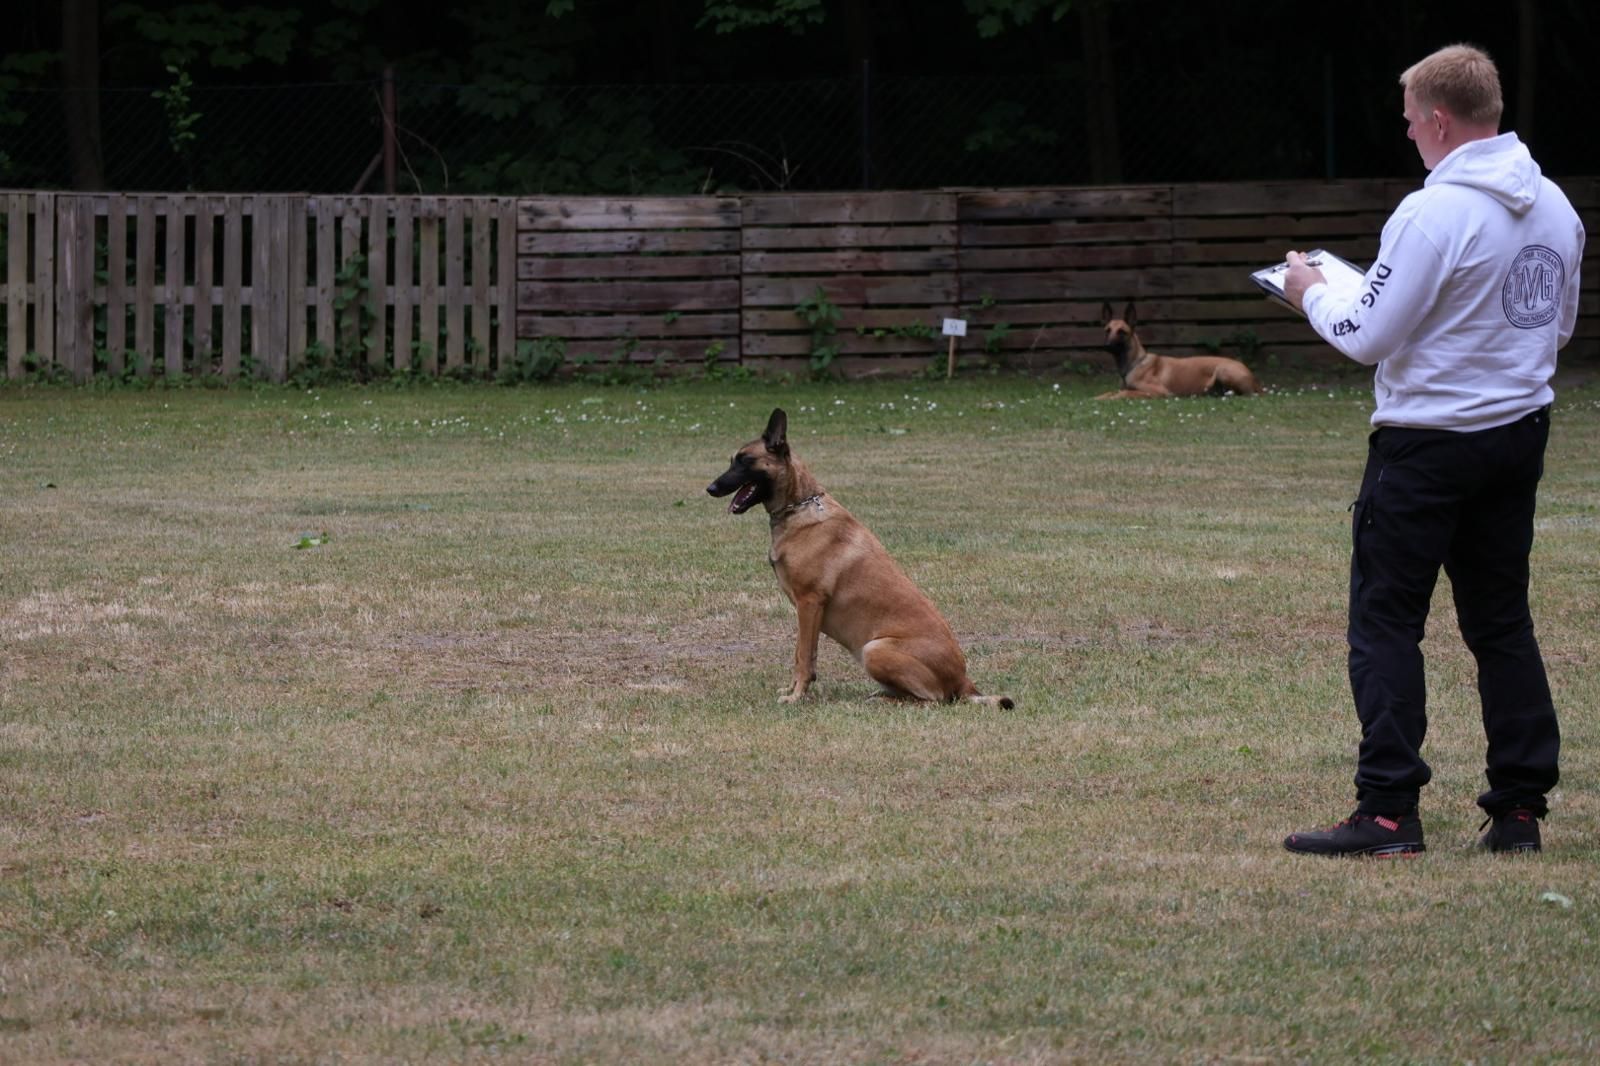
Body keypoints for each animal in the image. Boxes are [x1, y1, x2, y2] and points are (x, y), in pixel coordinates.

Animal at [707, 409, 1014, 709]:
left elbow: (803, 656)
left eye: (745, 461)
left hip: (874, 648)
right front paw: (794, 690)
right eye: (732, 461)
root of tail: (963, 681)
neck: (799, 508)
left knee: (933, 701)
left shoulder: (809, 603)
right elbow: (802, 655)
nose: (710, 489)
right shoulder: (806, 611)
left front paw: (796, 697)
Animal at [1097, 301, 1262, 399]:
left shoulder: (1160, 392)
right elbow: (1109, 392)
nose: (1106, 346)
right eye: (1107, 331)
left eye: (1121, 332)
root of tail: (1255, 380)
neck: (1135, 363)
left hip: (1223, 370)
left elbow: (1125, 392)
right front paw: (1098, 398)